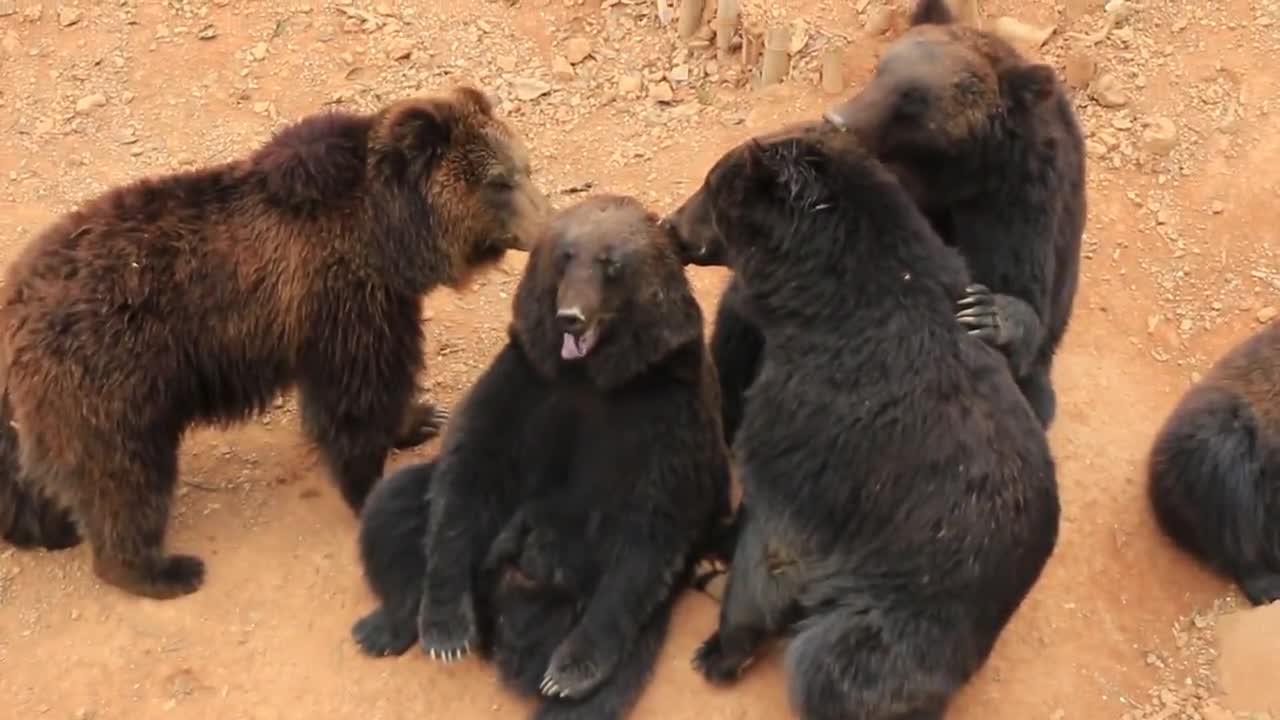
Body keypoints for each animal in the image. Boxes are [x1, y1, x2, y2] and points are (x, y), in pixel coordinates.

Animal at [0, 83, 547, 597]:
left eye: (526, 168)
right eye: (498, 182)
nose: (543, 228)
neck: (387, 235)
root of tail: (15, 305)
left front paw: (421, 417)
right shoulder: (346, 300)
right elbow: (358, 397)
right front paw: (372, 477)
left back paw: (43, 529)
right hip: (112, 375)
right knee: (122, 474)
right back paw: (159, 569)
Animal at [350, 192, 732, 717]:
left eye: (611, 264)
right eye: (565, 257)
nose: (570, 316)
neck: (594, 374)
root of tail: (503, 615)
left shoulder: (667, 403)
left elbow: (653, 522)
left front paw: (570, 672)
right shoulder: (530, 374)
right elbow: (472, 461)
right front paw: (446, 629)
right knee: (394, 505)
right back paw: (389, 624)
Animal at [670, 126, 1059, 717]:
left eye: (712, 192)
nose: (671, 227)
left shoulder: (815, 430)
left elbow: (775, 542)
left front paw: (719, 650)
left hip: (904, 617)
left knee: (831, 662)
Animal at [675, 0, 1085, 448]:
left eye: (912, 99)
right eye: (880, 70)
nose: (837, 117)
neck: (948, 173)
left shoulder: (1019, 201)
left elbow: (1021, 296)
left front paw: (985, 312)